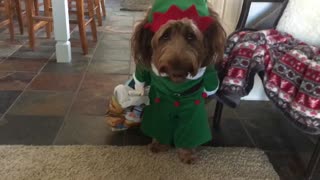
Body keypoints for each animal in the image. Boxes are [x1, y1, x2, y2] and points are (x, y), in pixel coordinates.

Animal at [129, 0, 225, 164]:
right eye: (165, 35)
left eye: (191, 36)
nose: (178, 68)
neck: (176, 85)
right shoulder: (159, 107)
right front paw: (159, 144)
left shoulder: (193, 110)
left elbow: (190, 132)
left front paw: (187, 153)